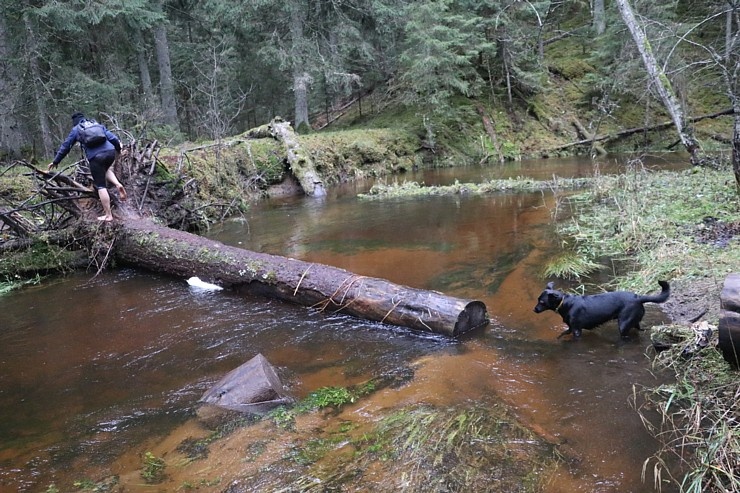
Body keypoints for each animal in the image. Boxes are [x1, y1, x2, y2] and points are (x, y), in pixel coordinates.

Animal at [532, 280, 672, 338]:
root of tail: (638, 297)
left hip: (624, 324)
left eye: (541, 302)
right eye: (537, 299)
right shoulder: (571, 328)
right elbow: (563, 334)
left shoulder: (577, 330)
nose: (534, 310)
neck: (565, 303)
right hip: (634, 321)